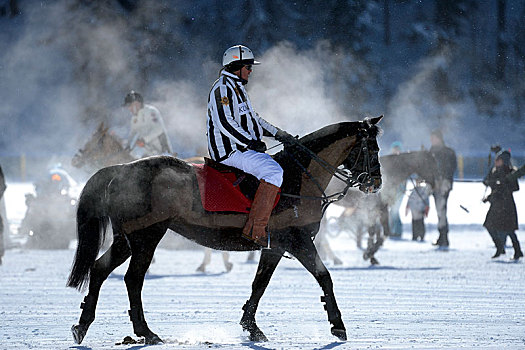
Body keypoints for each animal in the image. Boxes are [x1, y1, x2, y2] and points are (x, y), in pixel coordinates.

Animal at [67, 117, 382, 344]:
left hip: (127, 238)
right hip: (147, 236)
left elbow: (259, 284)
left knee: (99, 269)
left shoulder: (275, 246)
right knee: (133, 279)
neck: (297, 179)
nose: (375, 183)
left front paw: (251, 327)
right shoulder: (298, 240)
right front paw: (337, 325)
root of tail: (121, 169)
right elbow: (324, 276)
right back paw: (146, 332)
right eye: (370, 148)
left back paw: (82, 325)